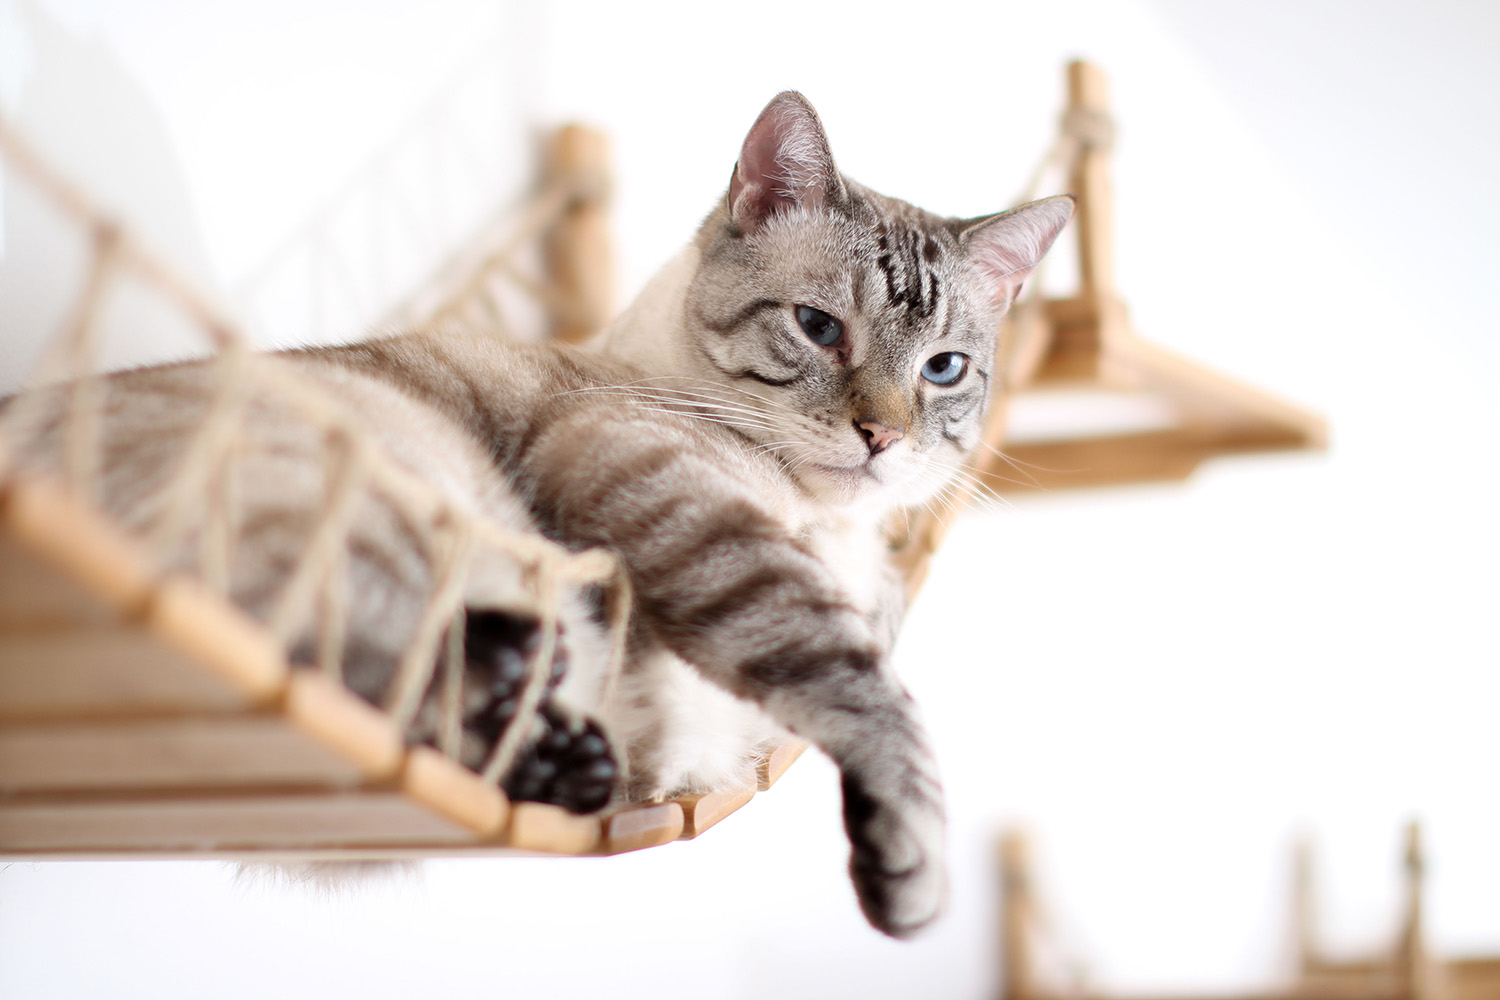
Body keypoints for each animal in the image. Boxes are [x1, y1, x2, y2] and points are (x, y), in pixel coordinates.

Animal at [5, 88, 1074, 941]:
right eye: (818, 328)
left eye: (944, 370)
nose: (881, 437)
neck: (827, 525)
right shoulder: (673, 498)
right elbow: (869, 692)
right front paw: (911, 881)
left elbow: (866, 636)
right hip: (390, 500)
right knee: (355, 661)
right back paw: (528, 689)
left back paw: (559, 747)